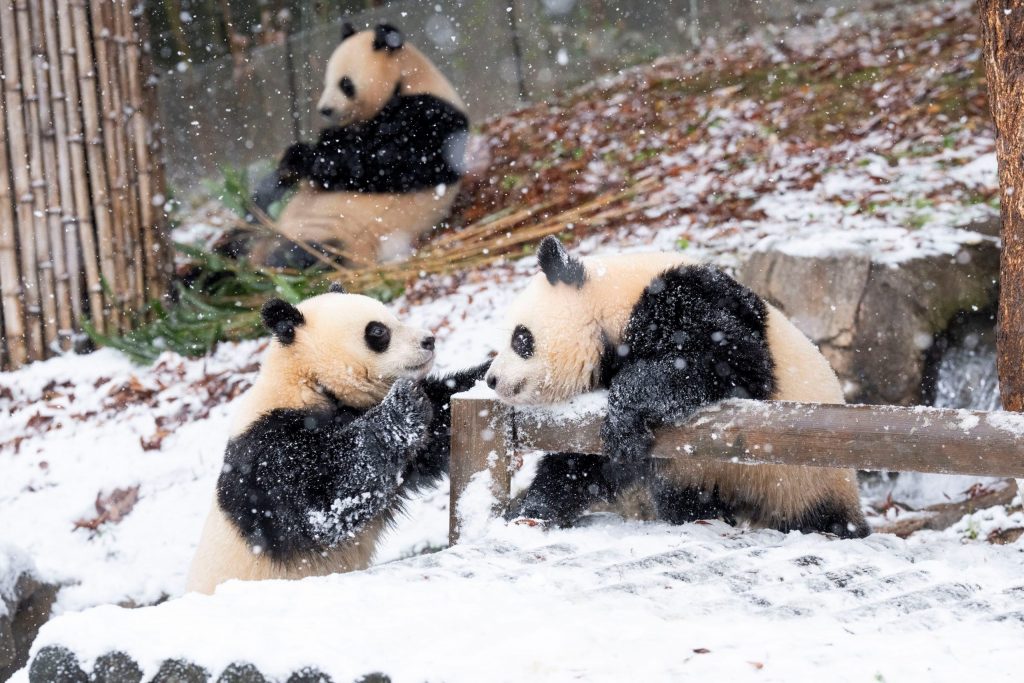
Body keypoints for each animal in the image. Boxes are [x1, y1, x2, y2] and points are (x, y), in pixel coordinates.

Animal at [186, 282, 489, 593]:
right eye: (377, 331)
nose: (429, 340)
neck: (307, 381)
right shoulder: (266, 455)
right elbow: (324, 503)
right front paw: (402, 405)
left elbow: (438, 423)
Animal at [245, 22, 468, 266]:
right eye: (326, 83)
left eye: (345, 84)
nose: (325, 110)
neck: (407, 80)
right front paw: (294, 159)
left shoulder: (434, 117)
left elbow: (391, 162)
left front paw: (309, 159)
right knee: (261, 205)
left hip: (345, 237)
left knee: (310, 254)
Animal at [483, 237, 868, 540]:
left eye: (521, 338)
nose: (491, 379)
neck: (613, 303)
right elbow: (589, 463)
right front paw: (530, 509)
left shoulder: (685, 298)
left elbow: (733, 362)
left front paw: (624, 415)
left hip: (806, 474)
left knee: (823, 515)